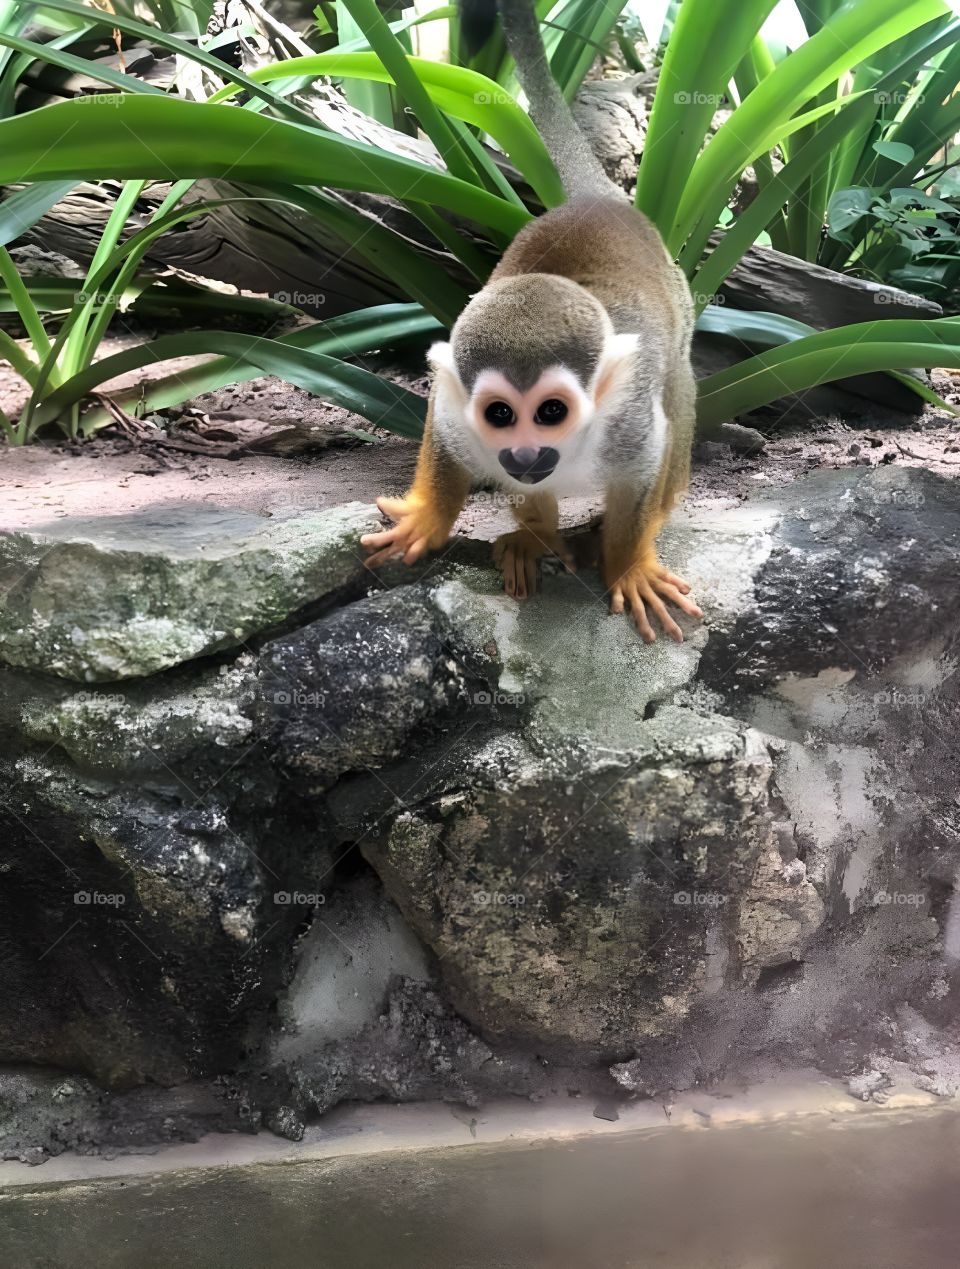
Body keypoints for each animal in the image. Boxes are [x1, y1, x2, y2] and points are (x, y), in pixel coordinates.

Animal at [361, 0, 702, 643]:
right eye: (499, 415)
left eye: (551, 413)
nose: (522, 455)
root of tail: (598, 202)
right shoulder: (460, 414)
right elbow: (443, 431)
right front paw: (431, 517)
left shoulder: (628, 424)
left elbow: (644, 469)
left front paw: (630, 564)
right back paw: (534, 534)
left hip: (680, 305)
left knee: (678, 389)